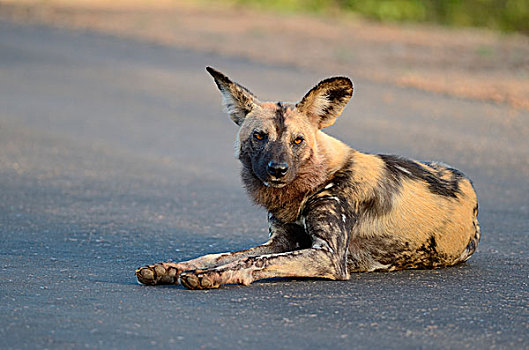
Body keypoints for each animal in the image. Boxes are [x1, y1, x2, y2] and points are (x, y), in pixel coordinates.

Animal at [135, 66, 478, 290]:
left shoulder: (327, 255)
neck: (310, 185)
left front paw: (214, 276)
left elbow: (250, 262)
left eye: (297, 140)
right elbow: (216, 255)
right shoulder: (281, 242)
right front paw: (170, 268)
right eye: (259, 136)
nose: (277, 169)